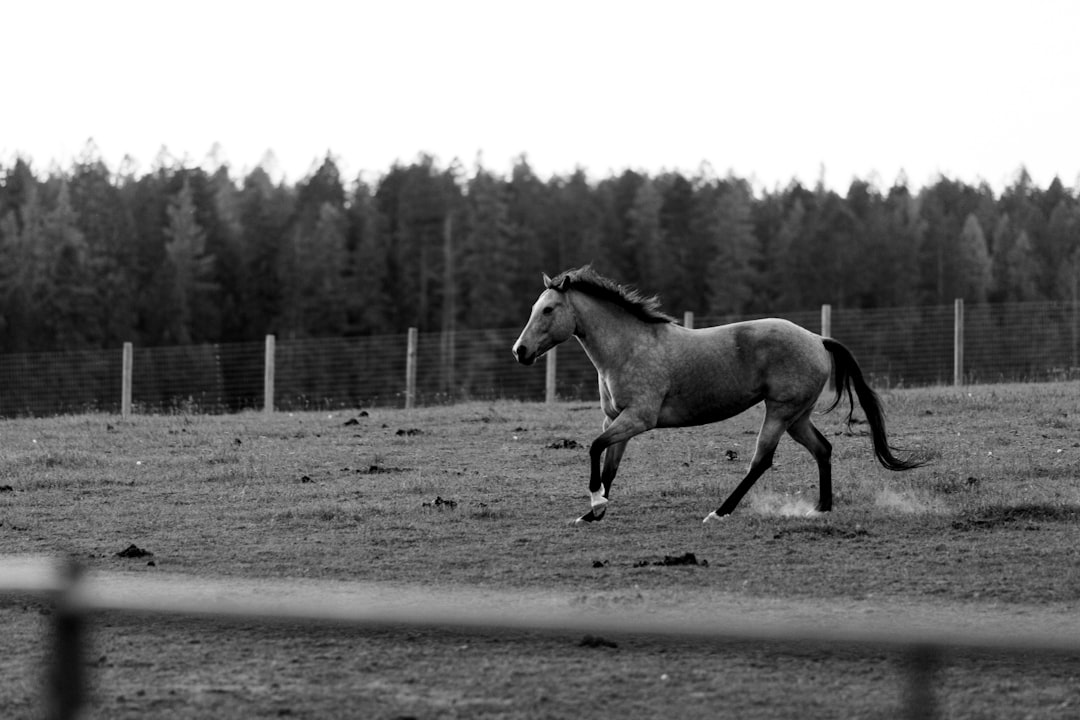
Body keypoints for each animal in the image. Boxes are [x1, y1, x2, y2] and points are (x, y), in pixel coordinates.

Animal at [511, 265, 925, 525]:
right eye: (534, 308)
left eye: (548, 309)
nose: (520, 351)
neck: (628, 348)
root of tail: (817, 338)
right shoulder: (615, 419)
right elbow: (608, 464)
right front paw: (592, 512)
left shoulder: (638, 419)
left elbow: (594, 448)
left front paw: (596, 503)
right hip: (797, 417)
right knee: (822, 449)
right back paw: (821, 509)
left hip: (779, 412)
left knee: (761, 461)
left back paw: (719, 512)